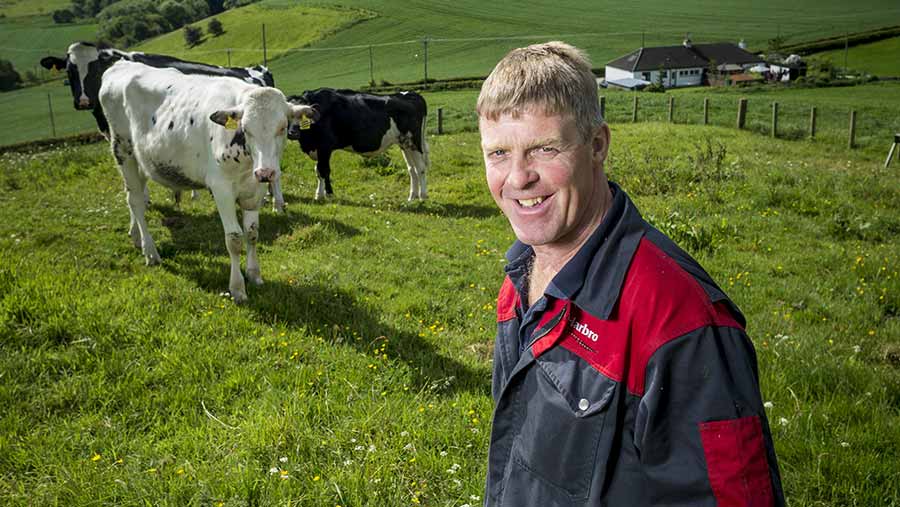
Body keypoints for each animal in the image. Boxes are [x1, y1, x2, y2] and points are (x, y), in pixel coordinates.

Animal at [99, 61, 314, 304]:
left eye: (283, 127)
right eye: (246, 129)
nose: (266, 172)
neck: (247, 163)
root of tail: (121, 63)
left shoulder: (255, 190)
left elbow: (252, 233)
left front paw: (254, 275)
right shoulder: (221, 188)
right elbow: (234, 239)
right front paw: (237, 288)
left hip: (143, 159)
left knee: (133, 198)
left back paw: (135, 236)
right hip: (122, 150)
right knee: (135, 200)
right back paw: (150, 252)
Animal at [288, 87, 428, 200]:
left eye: (302, 115)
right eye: (287, 115)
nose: (292, 133)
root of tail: (410, 94)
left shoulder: (325, 147)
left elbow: (323, 170)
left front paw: (326, 194)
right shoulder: (317, 148)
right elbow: (317, 170)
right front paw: (321, 194)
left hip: (414, 141)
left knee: (420, 167)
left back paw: (422, 196)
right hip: (405, 143)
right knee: (412, 168)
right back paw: (412, 197)